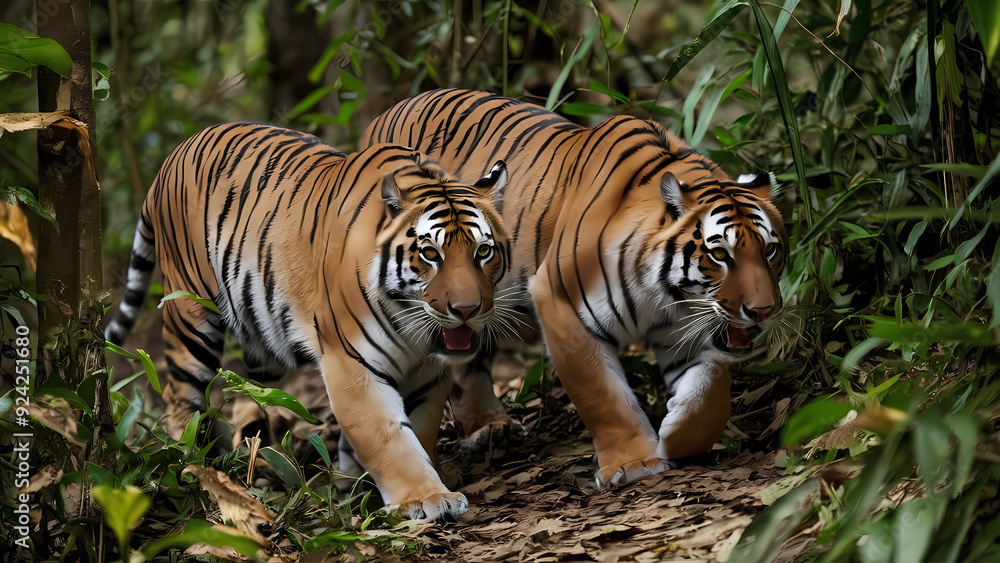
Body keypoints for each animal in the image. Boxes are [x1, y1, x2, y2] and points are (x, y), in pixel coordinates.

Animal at [104, 121, 512, 520]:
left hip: (261, 335)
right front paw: (425, 498)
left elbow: (420, 428)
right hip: (189, 314)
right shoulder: (352, 364)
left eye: (483, 251)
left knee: (251, 393)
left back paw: (263, 460)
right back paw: (192, 462)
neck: (413, 327)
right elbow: (387, 437)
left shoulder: (427, 372)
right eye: (430, 254)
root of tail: (172, 158)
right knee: (181, 395)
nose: (468, 309)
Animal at [360, 89, 787, 488]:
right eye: (720, 254)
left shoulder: (686, 327)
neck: (667, 296)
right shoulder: (559, 300)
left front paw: (677, 437)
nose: (764, 311)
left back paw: (492, 426)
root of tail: (385, 112)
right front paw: (634, 464)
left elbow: (707, 392)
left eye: (770, 250)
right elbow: (601, 395)